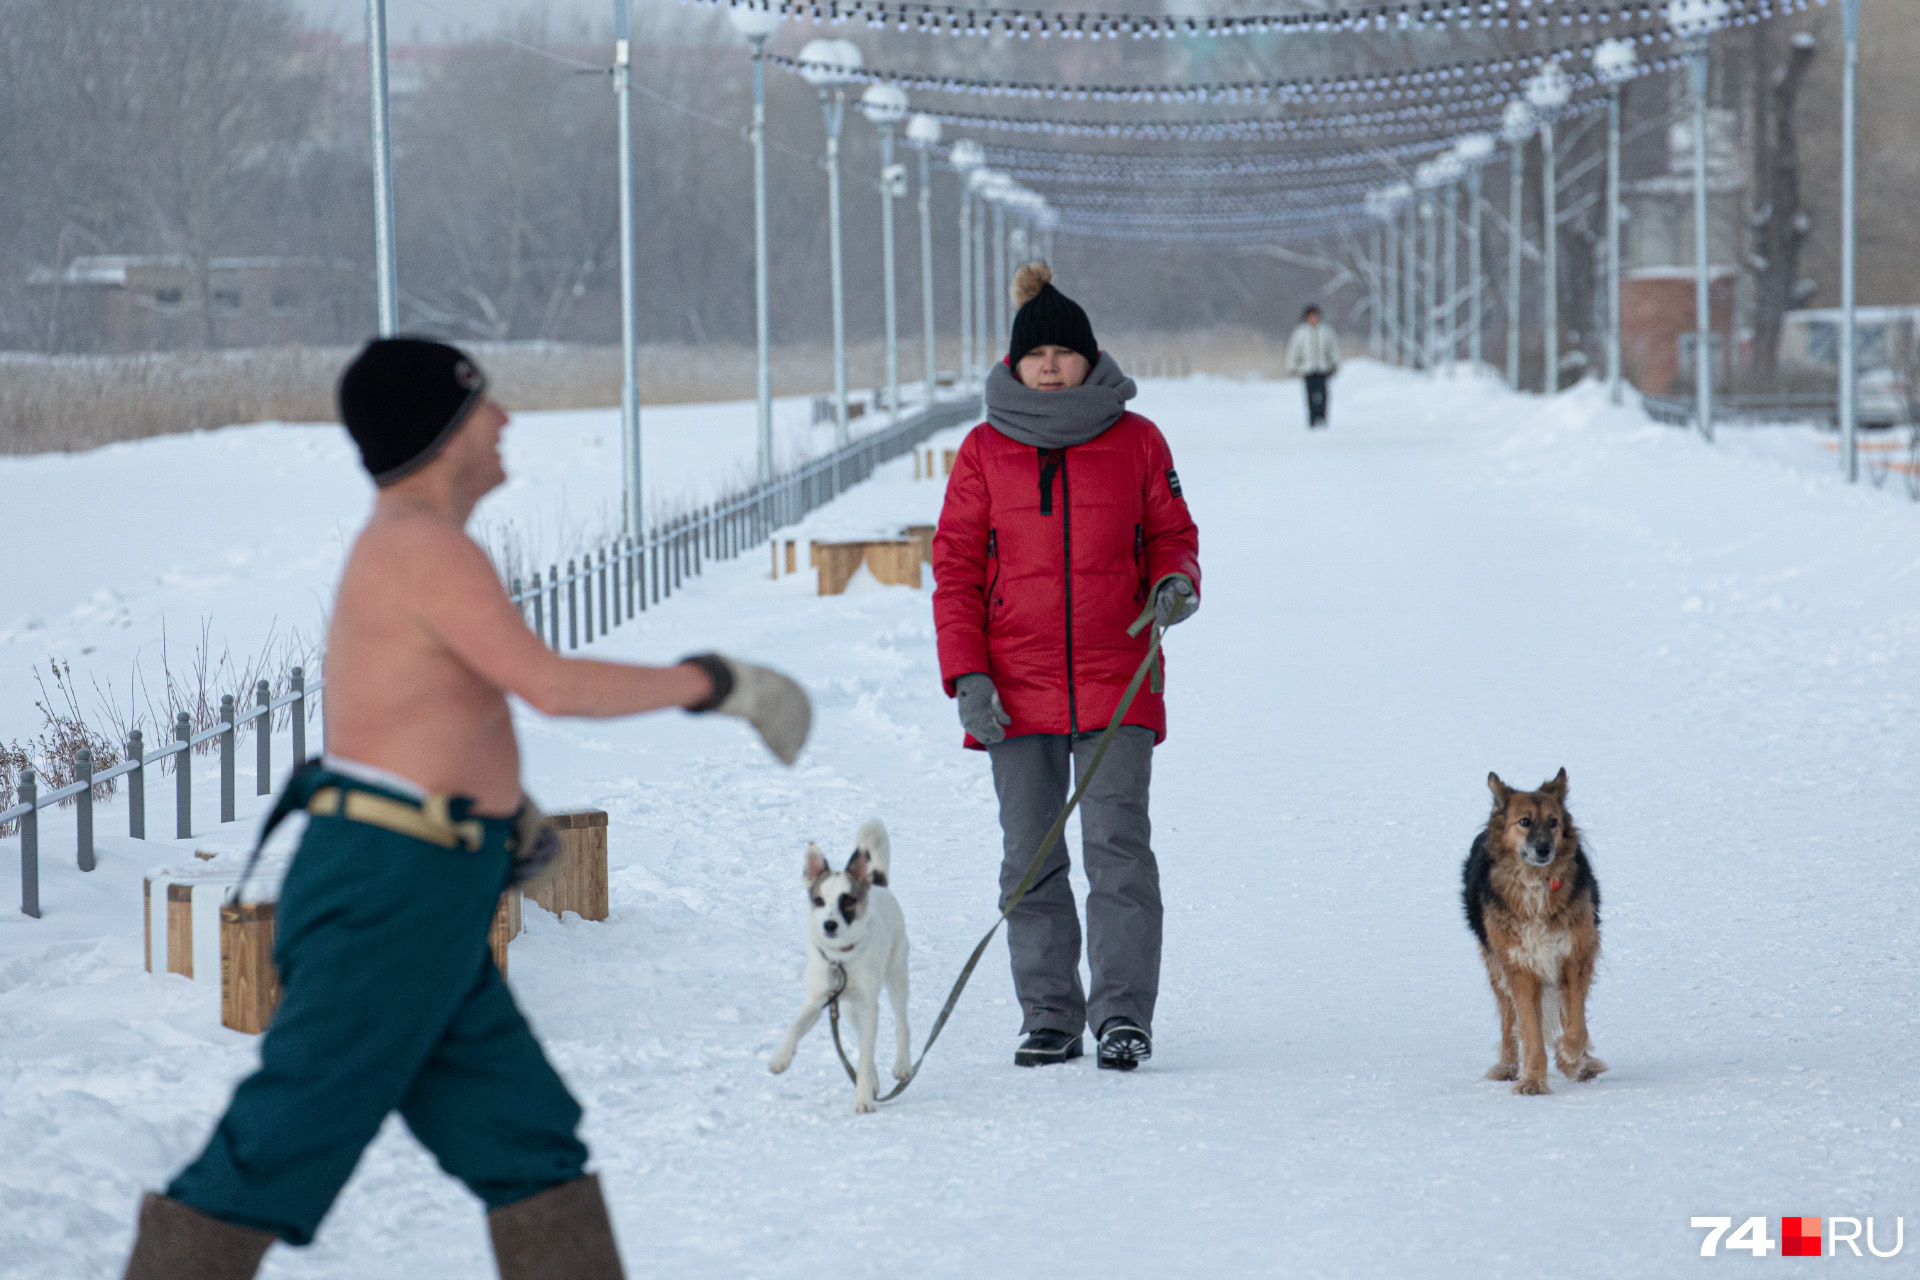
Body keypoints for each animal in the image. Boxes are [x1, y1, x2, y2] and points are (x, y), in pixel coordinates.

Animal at [768, 821, 910, 1113]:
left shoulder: (869, 1005)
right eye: (819, 901)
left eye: (848, 900)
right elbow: (795, 1027)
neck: (841, 959)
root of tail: (877, 883)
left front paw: (864, 1098)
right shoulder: (818, 999)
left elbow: (866, 1055)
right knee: (862, 1036)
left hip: (896, 976)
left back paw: (902, 1064)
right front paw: (781, 1058)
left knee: (902, 1023)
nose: (829, 925)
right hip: (850, 1007)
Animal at [1466, 767, 1605, 1097]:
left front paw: (1571, 1056)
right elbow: (1529, 1030)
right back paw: (1506, 1067)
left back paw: (1581, 1065)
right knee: (1508, 1021)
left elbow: (1576, 1024)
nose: (1544, 849)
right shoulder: (1520, 968)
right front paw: (1531, 1080)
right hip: (1496, 968)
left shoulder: (1575, 957)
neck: (1537, 883)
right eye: (1525, 822)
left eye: (1553, 822)